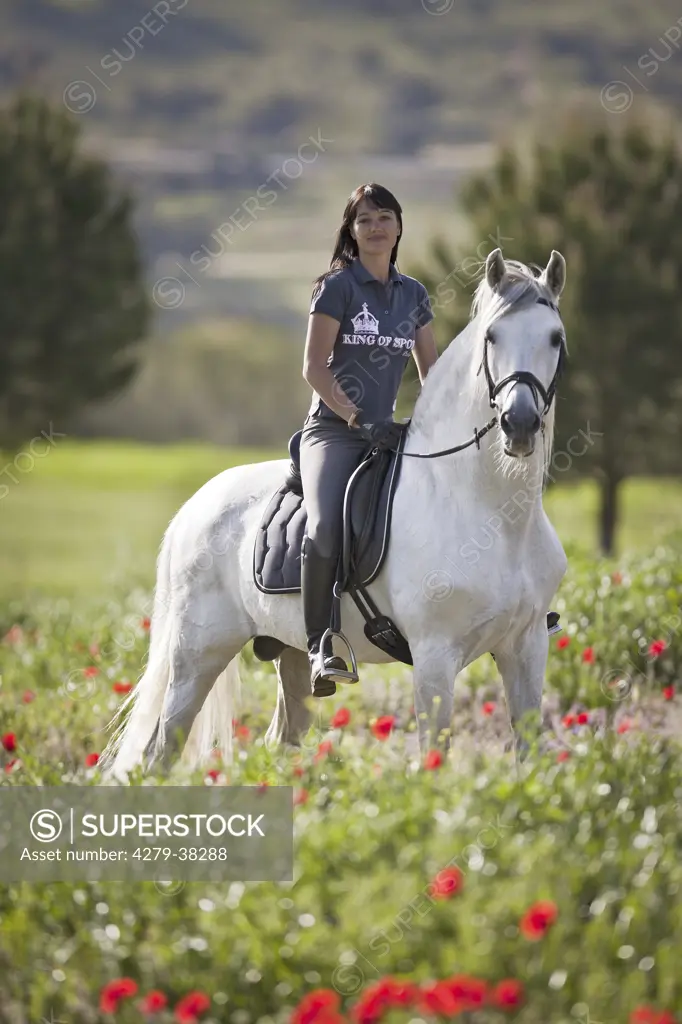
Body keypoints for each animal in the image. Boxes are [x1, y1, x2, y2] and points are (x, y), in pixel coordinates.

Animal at [102, 247, 569, 774]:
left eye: (555, 337)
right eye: (492, 336)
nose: (519, 424)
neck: (487, 511)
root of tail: (194, 508)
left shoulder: (526, 647)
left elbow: (527, 753)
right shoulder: (435, 658)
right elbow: (434, 757)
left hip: (287, 656)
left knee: (279, 740)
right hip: (197, 657)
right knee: (160, 751)